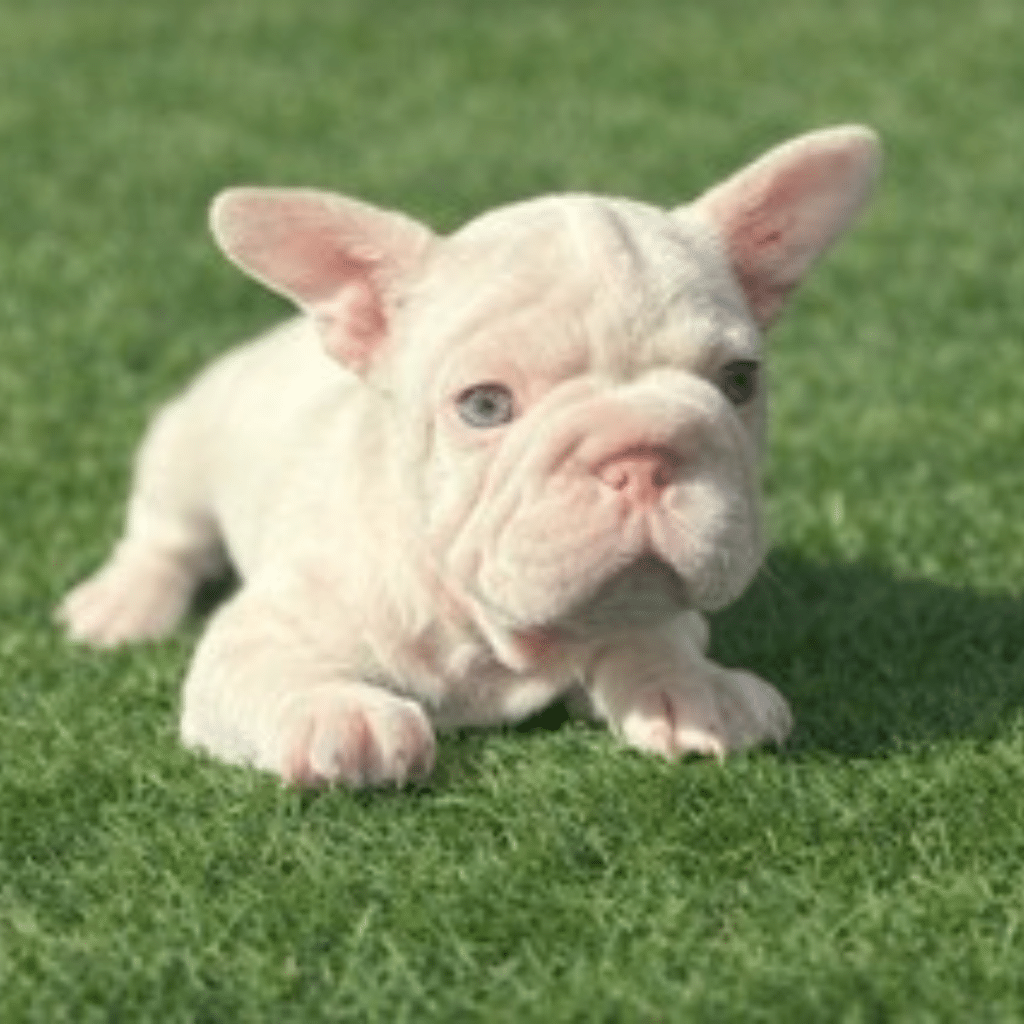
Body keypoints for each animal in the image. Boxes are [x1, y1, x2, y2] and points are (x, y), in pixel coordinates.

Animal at [58, 126, 881, 788]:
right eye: (485, 405)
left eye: (739, 381)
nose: (641, 459)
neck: (485, 626)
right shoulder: (259, 634)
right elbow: (272, 667)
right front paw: (338, 715)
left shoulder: (648, 608)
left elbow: (651, 635)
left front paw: (693, 689)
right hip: (187, 443)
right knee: (165, 534)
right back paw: (122, 604)